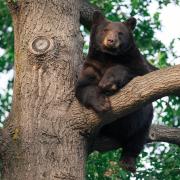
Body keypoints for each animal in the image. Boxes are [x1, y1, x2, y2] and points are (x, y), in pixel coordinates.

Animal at [75, 11, 157, 172]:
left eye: (120, 33)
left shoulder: (135, 62)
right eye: (105, 30)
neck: (108, 57)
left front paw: (108, 82)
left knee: (138, 136)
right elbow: (83, 88)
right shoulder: (91, 66)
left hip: (143, 121)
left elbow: (137, 73)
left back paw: (128, 162)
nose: (111, 40)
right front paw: (102, 103)